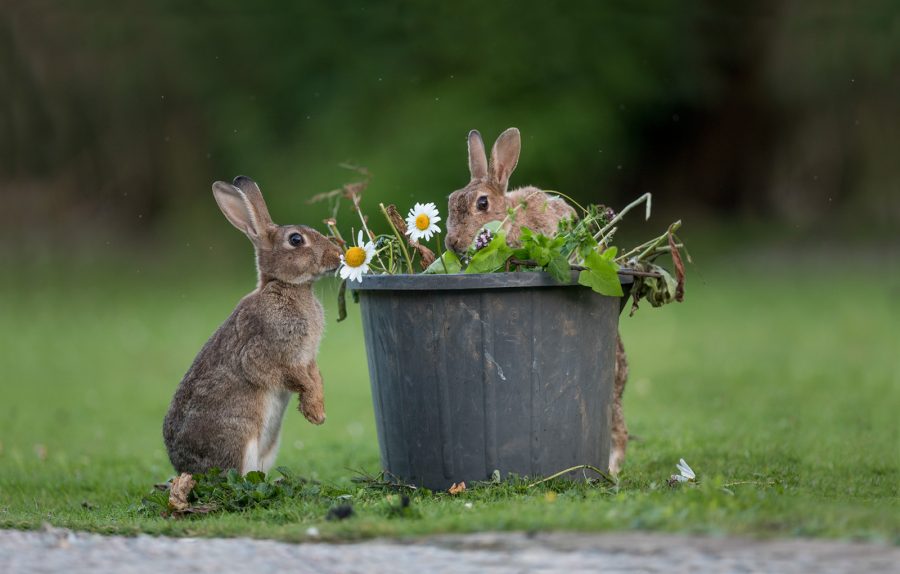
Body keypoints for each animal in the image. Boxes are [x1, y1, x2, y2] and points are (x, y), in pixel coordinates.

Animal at [163, 177, 342, 476]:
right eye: (296, 239)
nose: (338, 255)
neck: (285, 287)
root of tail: (183, 468)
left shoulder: (308, 357)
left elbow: (315, 376)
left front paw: (318, 411)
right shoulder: (265, 352)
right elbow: (293, 377)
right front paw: (314, 413)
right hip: (240, 440)